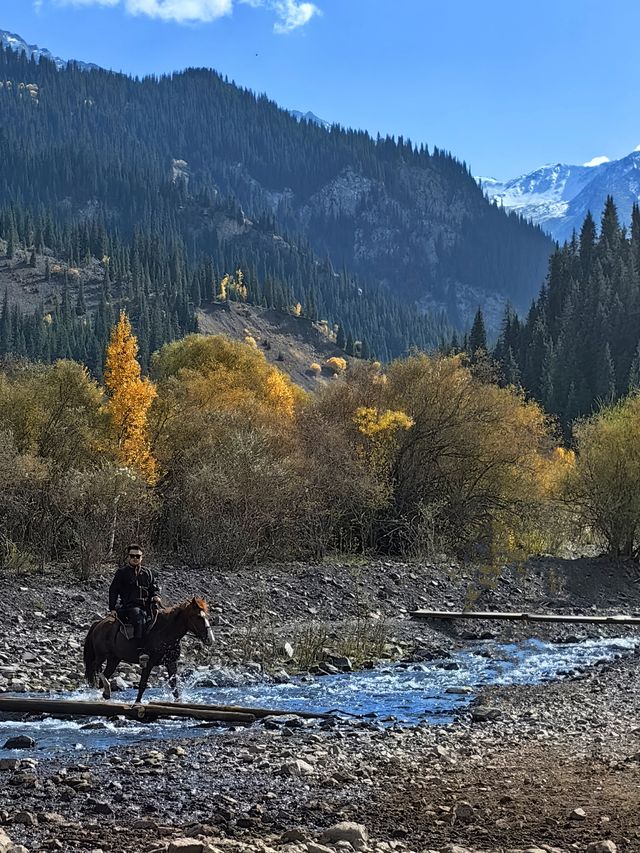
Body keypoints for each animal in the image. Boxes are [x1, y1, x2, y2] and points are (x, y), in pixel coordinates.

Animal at [82, 596, 215, 704]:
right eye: (198, 616)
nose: (210, 639)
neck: (165, 633)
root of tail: (98, 623)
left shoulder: (171, 662)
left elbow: (174, 686)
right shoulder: (148, 663)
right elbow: (142, 684)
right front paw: (137, 702)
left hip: (114, 659)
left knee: (104, 675)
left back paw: (106, 693)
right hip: (101, 655)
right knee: (96, 668)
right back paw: (107, 690)